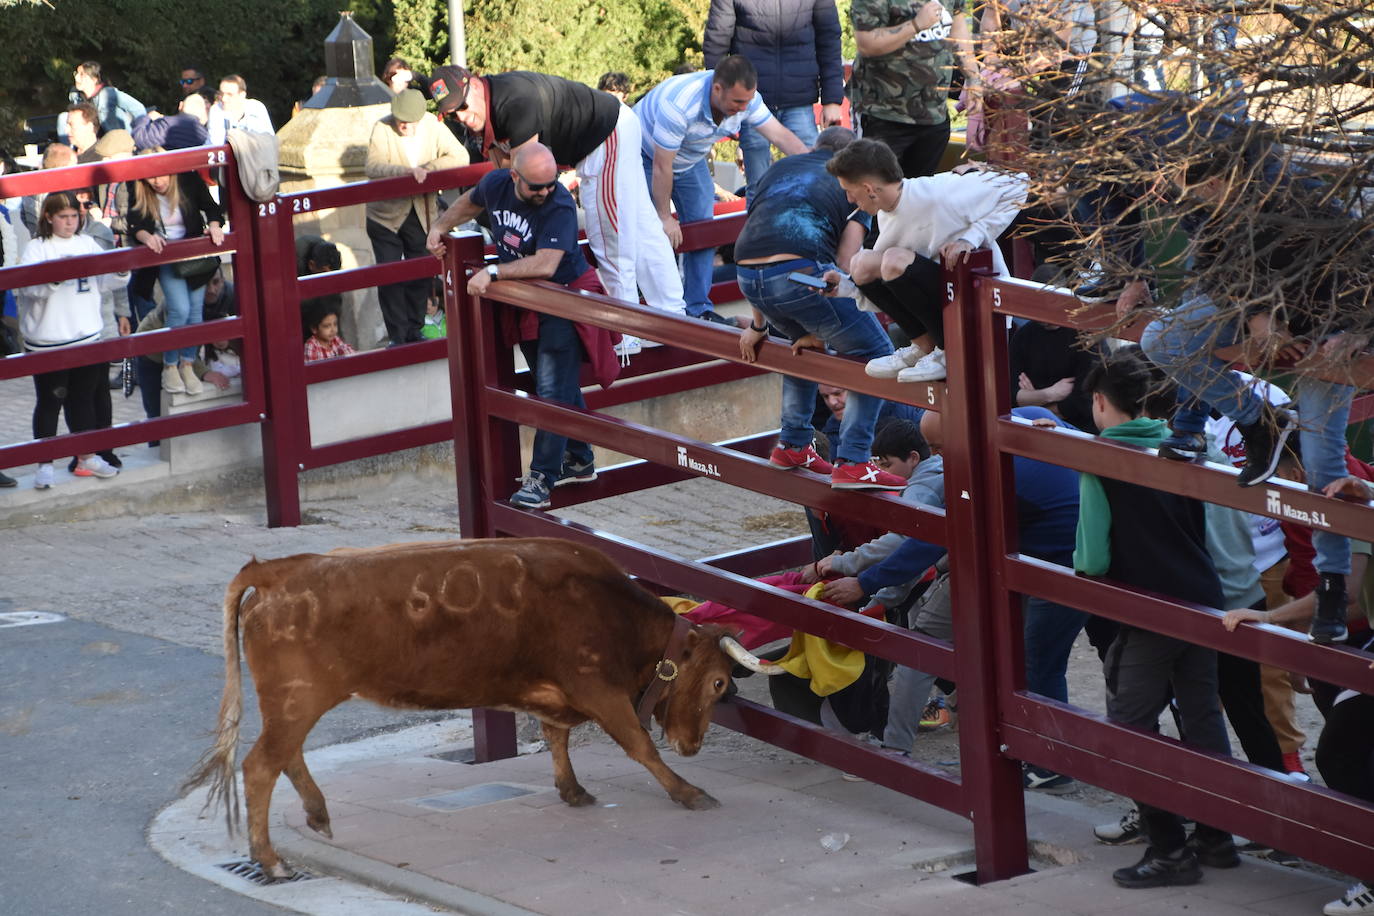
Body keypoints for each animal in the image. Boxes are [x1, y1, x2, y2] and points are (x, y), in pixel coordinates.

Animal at [185, 538, 785, 878]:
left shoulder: (558, 694)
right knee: (261, 765)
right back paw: (270, 859)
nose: (692, 745)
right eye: (716, 684)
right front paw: (688, 791)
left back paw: (316, 815)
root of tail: (277, 571)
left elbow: (556, 736)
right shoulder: (598, 689)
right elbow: (637, 745)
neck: (611, 610)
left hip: (293, 703)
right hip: (296, 698)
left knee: (285, 756)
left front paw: (572, 790)